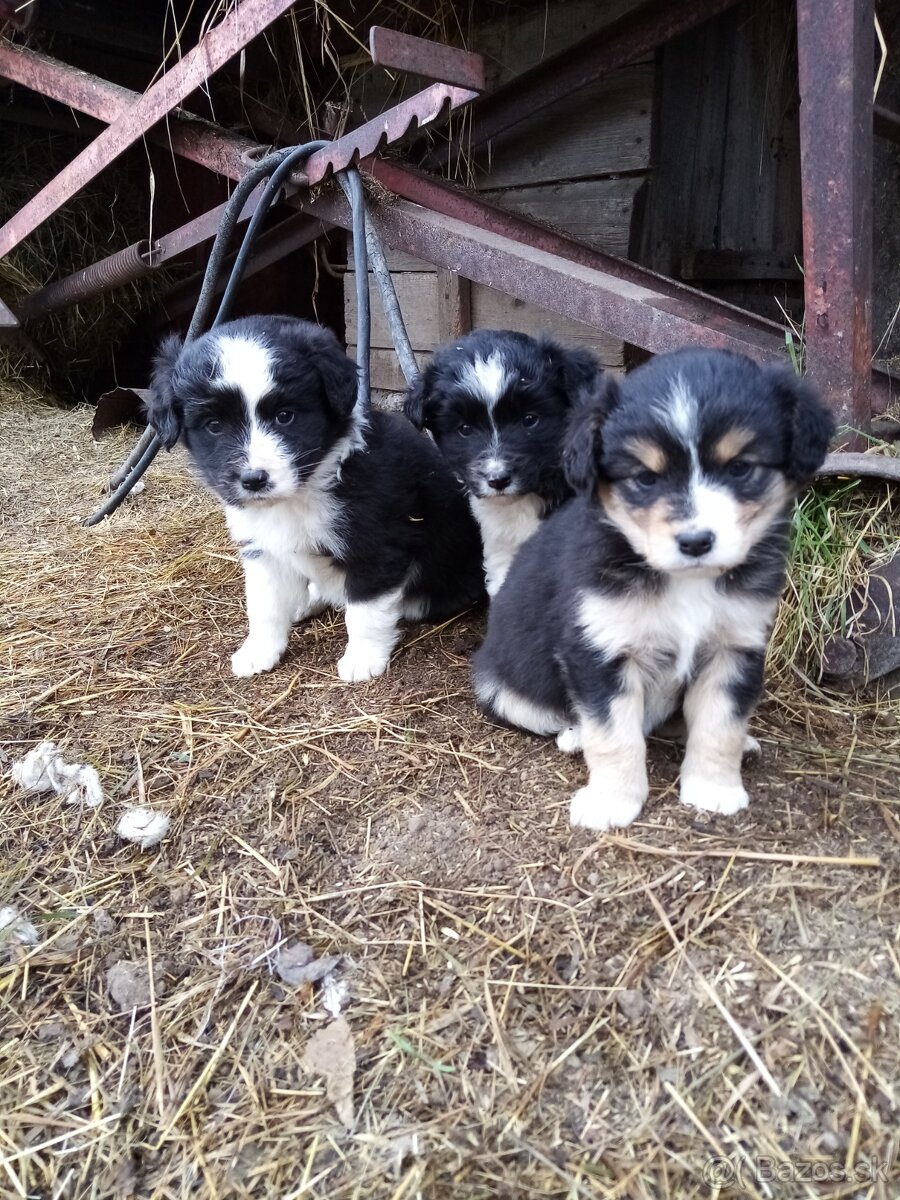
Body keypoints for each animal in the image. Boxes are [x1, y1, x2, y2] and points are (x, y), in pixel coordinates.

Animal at [148, 314, 489, 681]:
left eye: (285, 416)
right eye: (213, 425)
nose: (254, 479)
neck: (300, 494)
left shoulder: (376, 544)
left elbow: (364, 609)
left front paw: (362, 658)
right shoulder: (263, 549)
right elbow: (264, 605)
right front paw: (258, 651)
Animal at [475, 350, 835, 835]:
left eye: (740, 468)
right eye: (646, 478)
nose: (696, 542)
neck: (684, 581)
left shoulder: (734, 646)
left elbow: (720, 725)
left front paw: (713, 788)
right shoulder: (599, 650)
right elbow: (613, 736)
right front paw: (611, 801)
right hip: (499, 687)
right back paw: (574, 736)